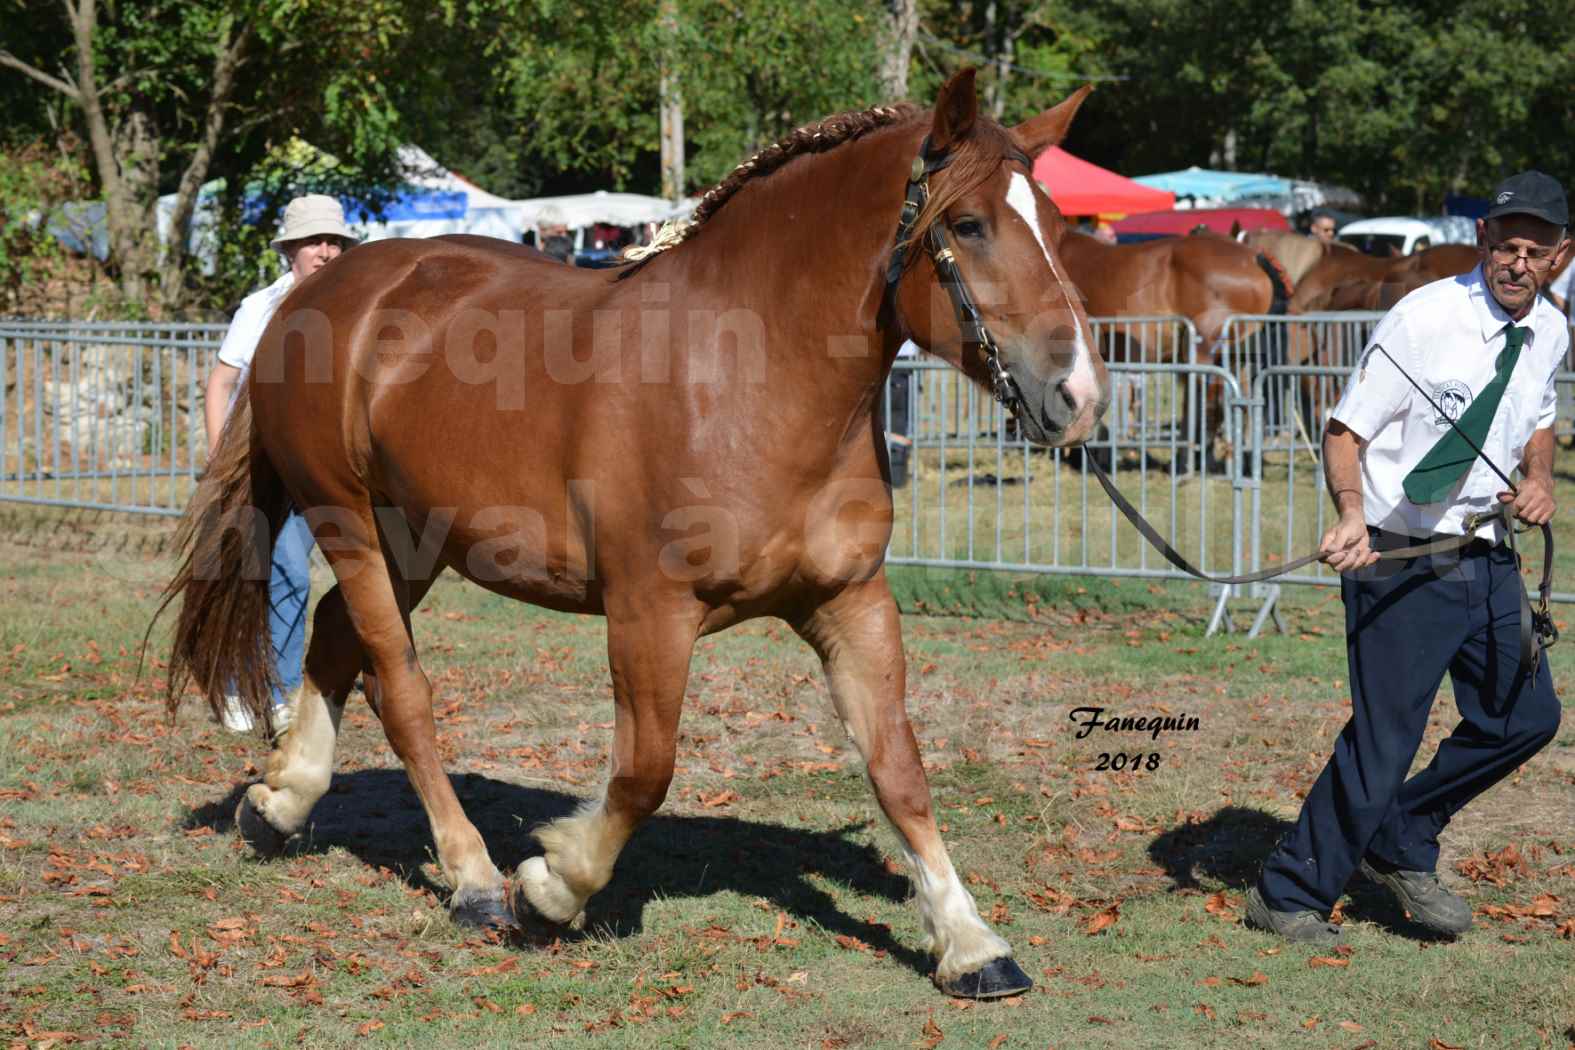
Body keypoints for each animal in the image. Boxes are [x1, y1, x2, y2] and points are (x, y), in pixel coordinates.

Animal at [159, 69, 1115, 1001]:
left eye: (1058, 224)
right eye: (968, 224)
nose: (1078, 397)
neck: (750, 377)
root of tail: (314, 294)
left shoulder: (850, 603)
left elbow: (899, 769)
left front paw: (970, 944)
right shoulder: (650, 614)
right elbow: (643, 771)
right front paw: (551, 886)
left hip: (411, 541)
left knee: (329, 641)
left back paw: (280, 804)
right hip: (351, 525)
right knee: (401, 691)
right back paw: (471, 879)